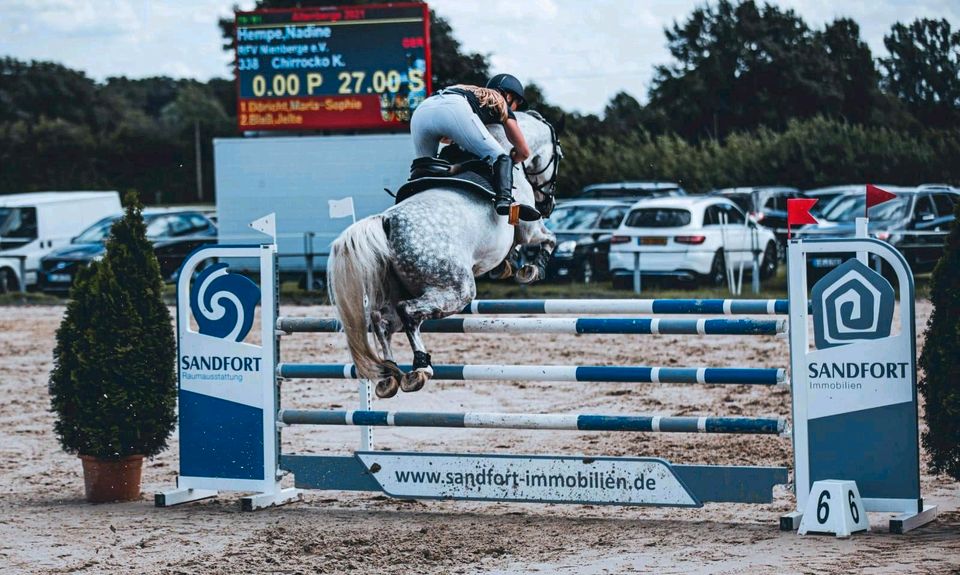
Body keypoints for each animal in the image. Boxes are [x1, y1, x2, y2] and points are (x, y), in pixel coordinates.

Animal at [328, 113, 564, 400]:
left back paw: (390, 375)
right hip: (456, 288)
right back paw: (421, 367)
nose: (549, 204)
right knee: (407, 312)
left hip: (396, 288)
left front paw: (509, 266)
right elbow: (549, 239)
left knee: (380, 320)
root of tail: (386, 221)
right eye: (559, 155)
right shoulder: (529, 229)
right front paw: (532, 269)